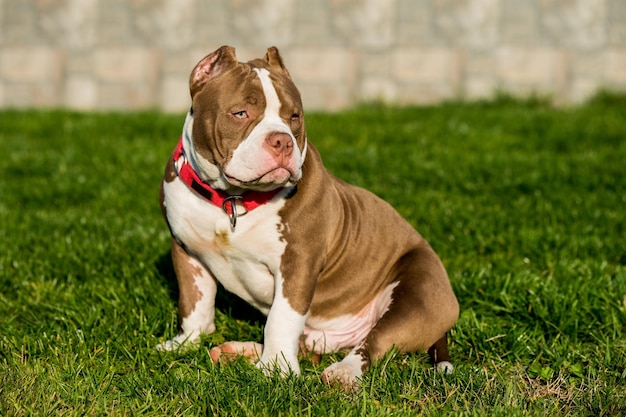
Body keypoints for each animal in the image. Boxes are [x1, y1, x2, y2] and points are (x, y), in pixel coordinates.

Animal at [156, 45, 458, 386]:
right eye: (240, 113)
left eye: (294, 116)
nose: (282, 140)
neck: (232, 200)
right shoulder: (186, 250)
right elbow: (194, 302)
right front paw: (185, 342)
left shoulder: (298, 263)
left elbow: (282, 318)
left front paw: (275, 368)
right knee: (309, 347)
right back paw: (239, 351)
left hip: (418, 295)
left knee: (373, 344)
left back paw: (342, 372)